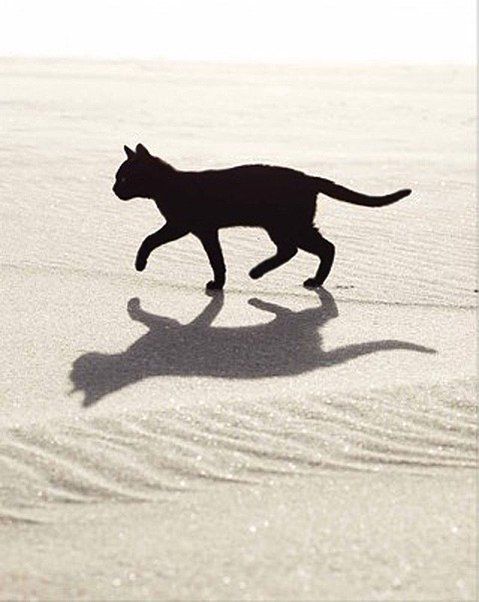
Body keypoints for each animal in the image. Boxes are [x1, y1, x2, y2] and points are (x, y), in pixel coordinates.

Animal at [113, 143, 412, 288]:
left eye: (124, 178)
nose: (114, 189)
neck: (169, 185)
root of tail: (309, 178)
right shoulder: (206, 230)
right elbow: (216, 259)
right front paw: (219, 283)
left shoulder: (182, 225)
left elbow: (149, 240)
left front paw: (140, 264)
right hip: (286, 227)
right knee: (300, 249)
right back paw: (263, 273)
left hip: (289, 225)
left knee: (324, 247)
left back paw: (285, 276)